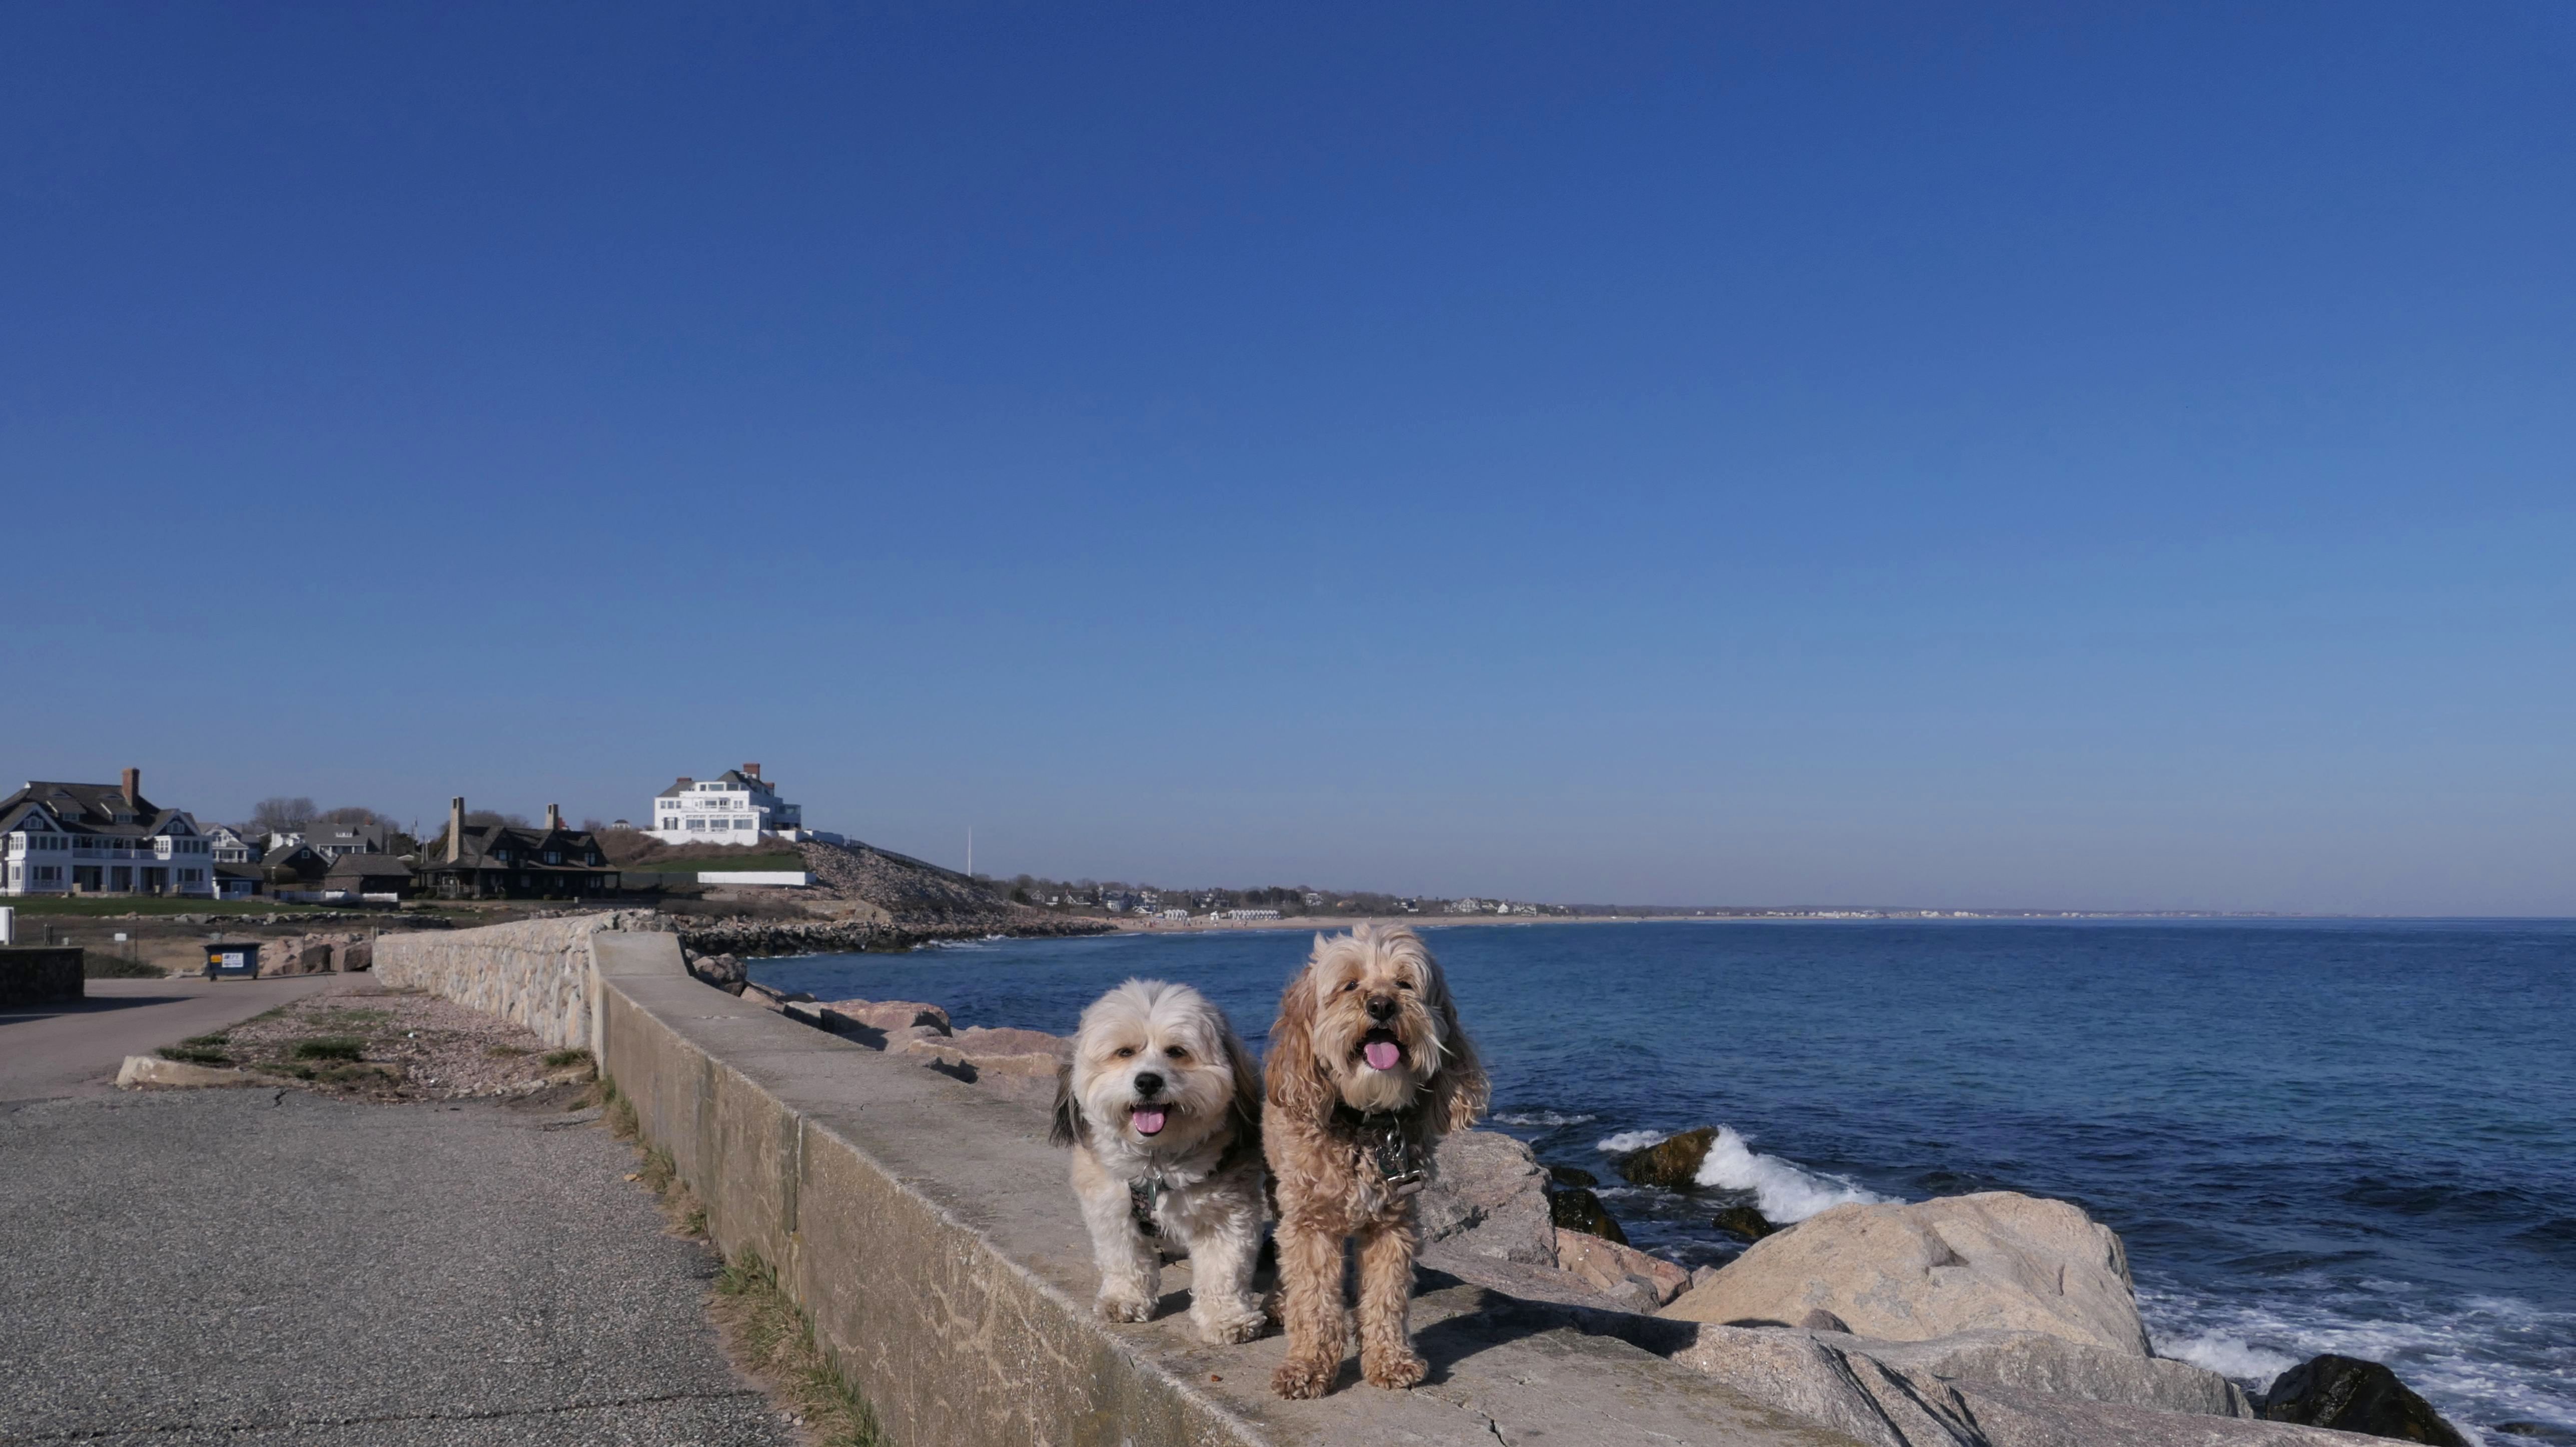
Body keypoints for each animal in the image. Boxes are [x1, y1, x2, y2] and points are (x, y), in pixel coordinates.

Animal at [1051, 978, 1270, 1344]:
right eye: (1125, 1052)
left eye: (1176, 1052)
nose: (1148, 1081)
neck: (1155, 1163)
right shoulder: (1109, 1207)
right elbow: (1123, 1257)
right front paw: (1124, 1299)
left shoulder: (1227, 1214)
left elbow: (1224, 1269)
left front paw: (1227, 1318)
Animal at [1263, 925, 1487, 1398]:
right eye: (1349, 985)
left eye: (1404, 983)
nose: (1382, 1004)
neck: (1366, 1121)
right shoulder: (1309, 1222)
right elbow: (1312, 1299)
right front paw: (1306, 1366)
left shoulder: (1393, 1223)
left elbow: (1386, 1295)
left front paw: (1389, 1359)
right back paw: (1279, 1301)